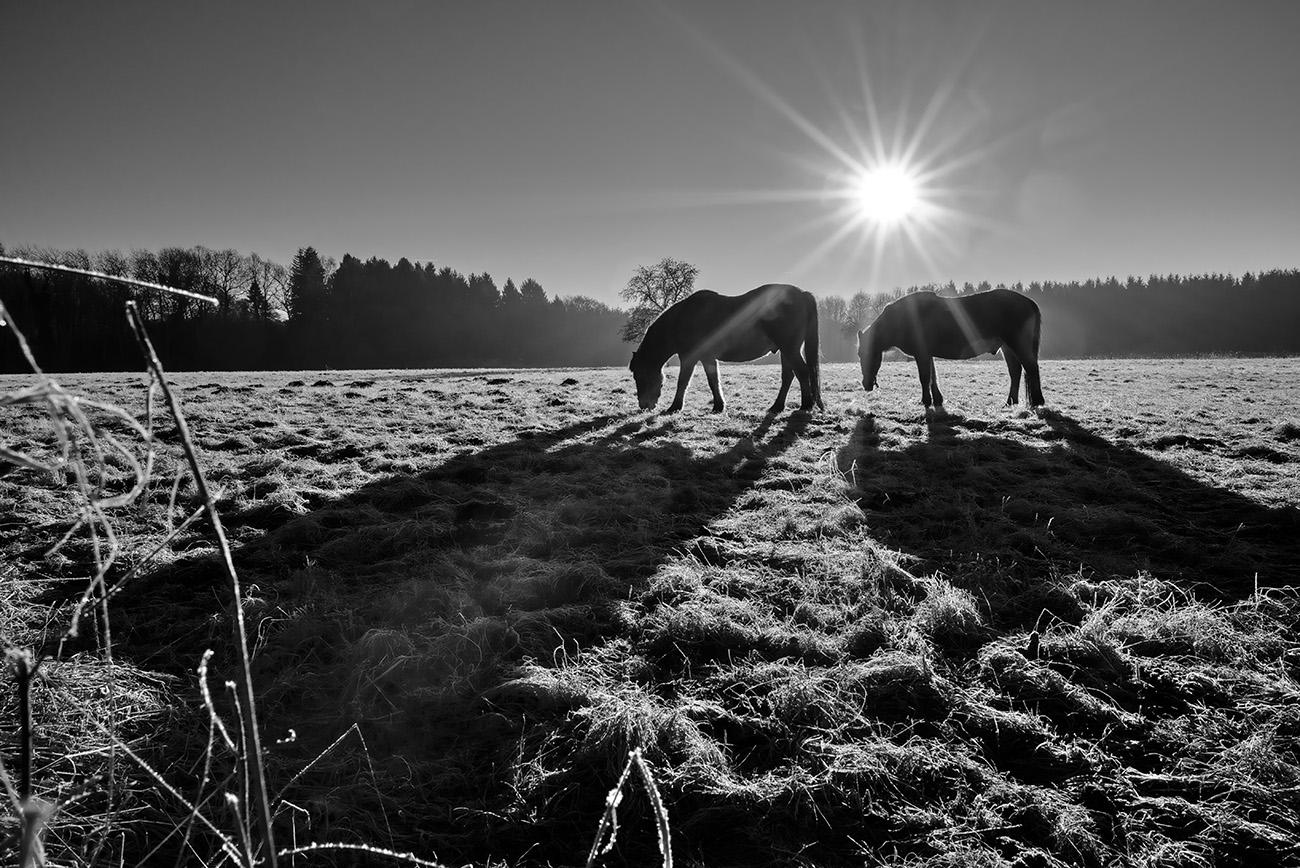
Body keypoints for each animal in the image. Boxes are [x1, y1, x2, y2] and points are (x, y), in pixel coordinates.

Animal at [629, 283, 821, 415]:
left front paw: (675, 407)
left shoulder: (689, 357)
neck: (683, 318)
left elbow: (683, 382)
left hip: (789, 348)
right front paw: (718, 406)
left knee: (802, 371)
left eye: (639, 376)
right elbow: (713, 380)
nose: (644, 406)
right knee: (789, 375)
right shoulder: (707, 357)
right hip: (786, 350)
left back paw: (806, 405)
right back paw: (777, 407)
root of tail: (801, 294)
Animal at [852, 284, 1045, 408]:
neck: (903, 318)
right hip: (1007, 347)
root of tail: (1028, 302)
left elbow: (925, 378)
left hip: (1017, 344)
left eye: (869, 353)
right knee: (1015, 372)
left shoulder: (921, 354)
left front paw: (926, 401)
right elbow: (933, 377)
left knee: (1031, 368)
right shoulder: (927, 354)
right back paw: (1010, 402)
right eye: (860, 354)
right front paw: (937, 400)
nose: (866, 384)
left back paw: (1038, 402)